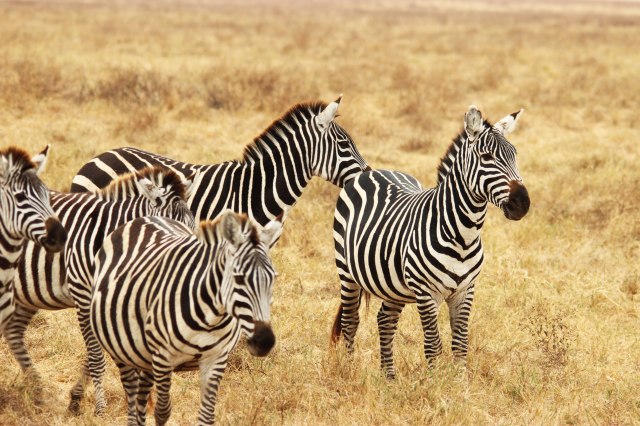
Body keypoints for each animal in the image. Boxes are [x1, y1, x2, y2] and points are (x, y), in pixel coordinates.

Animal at [5, 166, 194, 415]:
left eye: (191, 227)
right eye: (167, 226)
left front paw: (77, 399)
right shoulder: (84, 295)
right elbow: (96, 356)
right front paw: (100, 408)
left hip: (26, 294)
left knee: (13, 332)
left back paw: (38, 391)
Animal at [90, 211, 280, 425]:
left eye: (273, 278)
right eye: (239, 278)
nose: (265, 341)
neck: (211, 318)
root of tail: (146, 218)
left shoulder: (216, 359)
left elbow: (207, 416)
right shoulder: (163, 358)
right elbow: (163, 411)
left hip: (144, 355)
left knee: (141, 395)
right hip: (122, 352)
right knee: (131, 394)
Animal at [331, 106, 530, 379]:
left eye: (515, 155)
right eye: (486, 157)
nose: (523, 203)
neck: (462, 235)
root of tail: (371, 172)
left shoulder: (465, 290)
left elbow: (460, 343)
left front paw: (460, 383)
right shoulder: (426, 293)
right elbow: (433, 344)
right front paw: (435, 383)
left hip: (393, 284)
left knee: (385, 321)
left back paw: (389, 377)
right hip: (347, 272)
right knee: (350, 321)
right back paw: (349, 372)